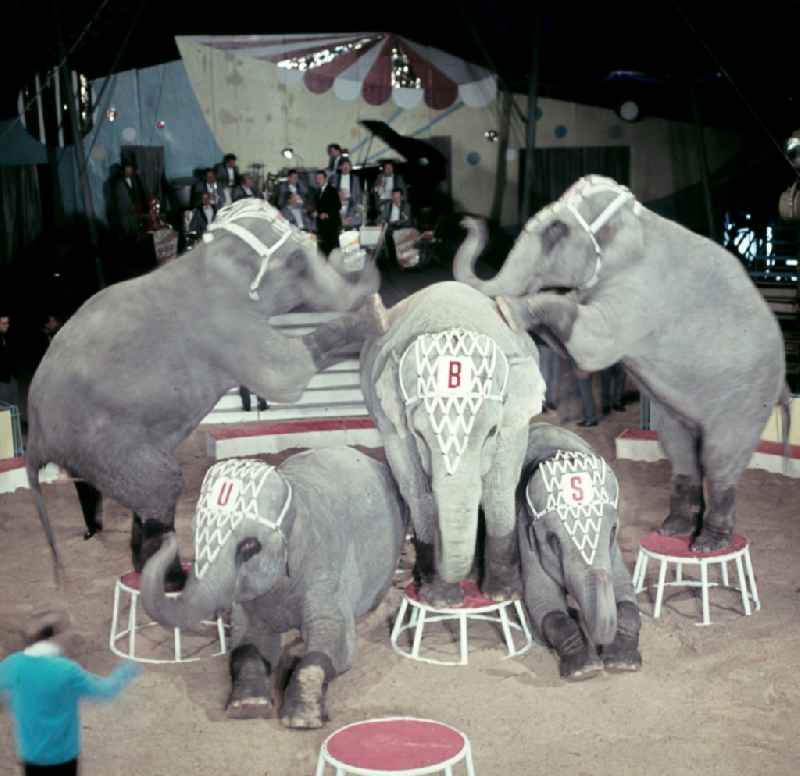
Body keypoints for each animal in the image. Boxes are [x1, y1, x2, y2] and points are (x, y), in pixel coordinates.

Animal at [25, 196, 388, 584]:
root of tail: (34, 439)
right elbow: (286, 377)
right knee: (161, 486)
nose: (360, 246)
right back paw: (176, 579)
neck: (211, 256)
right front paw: (373, 318)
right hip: (103, 444)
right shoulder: (226, 324)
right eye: (299, 263)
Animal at [138, 446, 410, 732]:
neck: (294, 493)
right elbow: (250, 642)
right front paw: (248, 706)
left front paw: (302, 718)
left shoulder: (326, 565)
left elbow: (337, 642)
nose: (165, 535)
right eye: (194, 533)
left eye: (249, 546)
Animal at [360, 282, 544, 608]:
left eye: (492, 432)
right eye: (420, 435)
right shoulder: (390, 423)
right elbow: (415, 489)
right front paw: (442, 601)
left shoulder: (513, 423)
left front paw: (501, 594)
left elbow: (499, 488)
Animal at [454, 176, 792, 552]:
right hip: (682, 415)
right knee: (680, 451)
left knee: (720, 458)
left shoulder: (643, 296)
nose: (467, 221)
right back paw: (673, 529)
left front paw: (509, 309)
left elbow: (593, 347)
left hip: (745, 401)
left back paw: (707, 543)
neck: (640, 222)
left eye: (556, 231)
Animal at [520, 422, 644, 684]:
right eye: (553, 541)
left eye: (612, 531)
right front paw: (584, 669)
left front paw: (623, 663)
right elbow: (542, 600)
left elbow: (625, 589)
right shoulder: (524, 529)